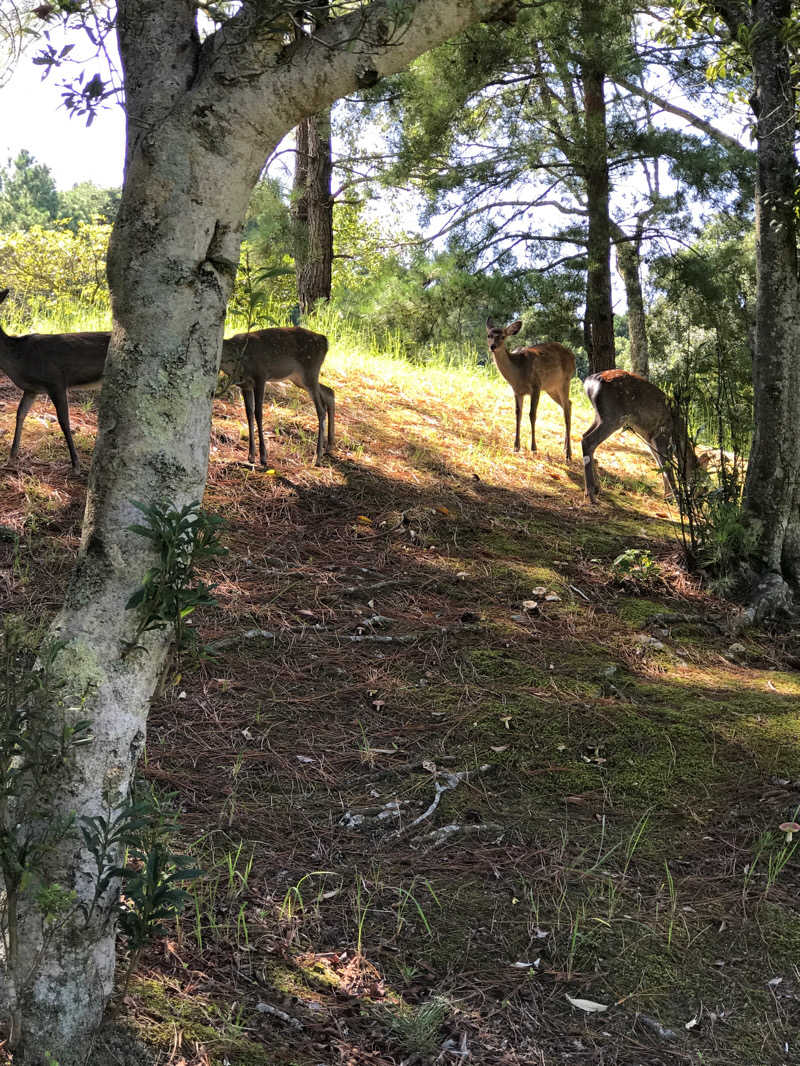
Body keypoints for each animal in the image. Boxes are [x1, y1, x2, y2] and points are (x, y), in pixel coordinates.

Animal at [0, 292, 110, 475]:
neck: (18, 359)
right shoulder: (31, 389)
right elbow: (20, 414)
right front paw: (11, 458)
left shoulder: (55, 381)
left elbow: (64, 421)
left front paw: (76, 465)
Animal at [219, 326, 334, 464]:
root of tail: (324, 340)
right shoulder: (245, 385)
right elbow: (249, 414)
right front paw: (251, 455)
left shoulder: (260, 376)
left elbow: (258, 413)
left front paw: (263, 456)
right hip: (298, 378)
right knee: (329, 392)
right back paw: (329, 447)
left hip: (310, 371)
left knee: (321, 409)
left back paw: (318, 457)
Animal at [482, 315, 576, 458]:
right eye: (489, 335)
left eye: (503, 336)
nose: (493, 346)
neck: (518, 372)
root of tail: (573, 357)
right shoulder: (517, 391)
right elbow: (518, 414)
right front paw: (516, 446)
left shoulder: (536, 385)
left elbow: (532, 415)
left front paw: (533, 448)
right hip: (551, 388)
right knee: (569, 405)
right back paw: (565, 448)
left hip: (565, 381)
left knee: (566, 409)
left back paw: (569, 453)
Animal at [580, 368, 704, 505]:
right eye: (700, 478)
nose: (699, 500)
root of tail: (590, 382)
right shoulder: (661, 434)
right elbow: (666, 466)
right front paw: (677, 500)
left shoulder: (649, 438)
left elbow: (659, 464)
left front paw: (668, 498)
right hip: (613, 417)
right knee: (588, 441)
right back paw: (591, 495)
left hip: (600, 416)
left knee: (584, 435)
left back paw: (597, 488)